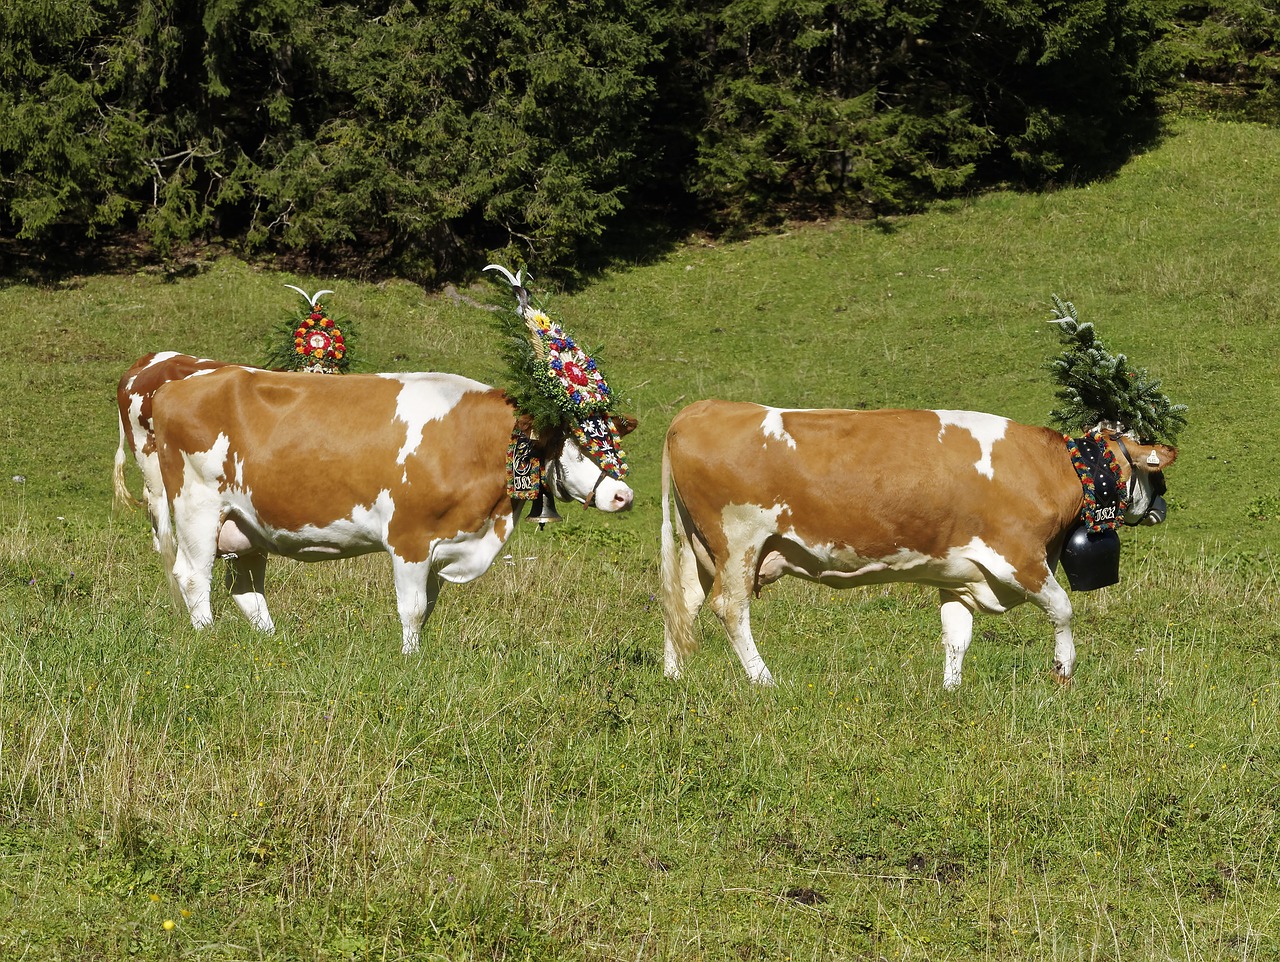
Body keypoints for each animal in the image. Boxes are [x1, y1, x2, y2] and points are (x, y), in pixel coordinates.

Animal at [665, 401, 1172, 685]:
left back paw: (674, 679)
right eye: (1155, 473)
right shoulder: (1019, 558)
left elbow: (956, 636)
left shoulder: (961, 575)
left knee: (683, 603)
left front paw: (951, 691)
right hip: (738, 542)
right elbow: (1063, 608)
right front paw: (1063, 672)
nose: (1162, 508)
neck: (1051, 469)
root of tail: (701, 408)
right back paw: (765, 682)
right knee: (729, 609)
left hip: (697, 547)